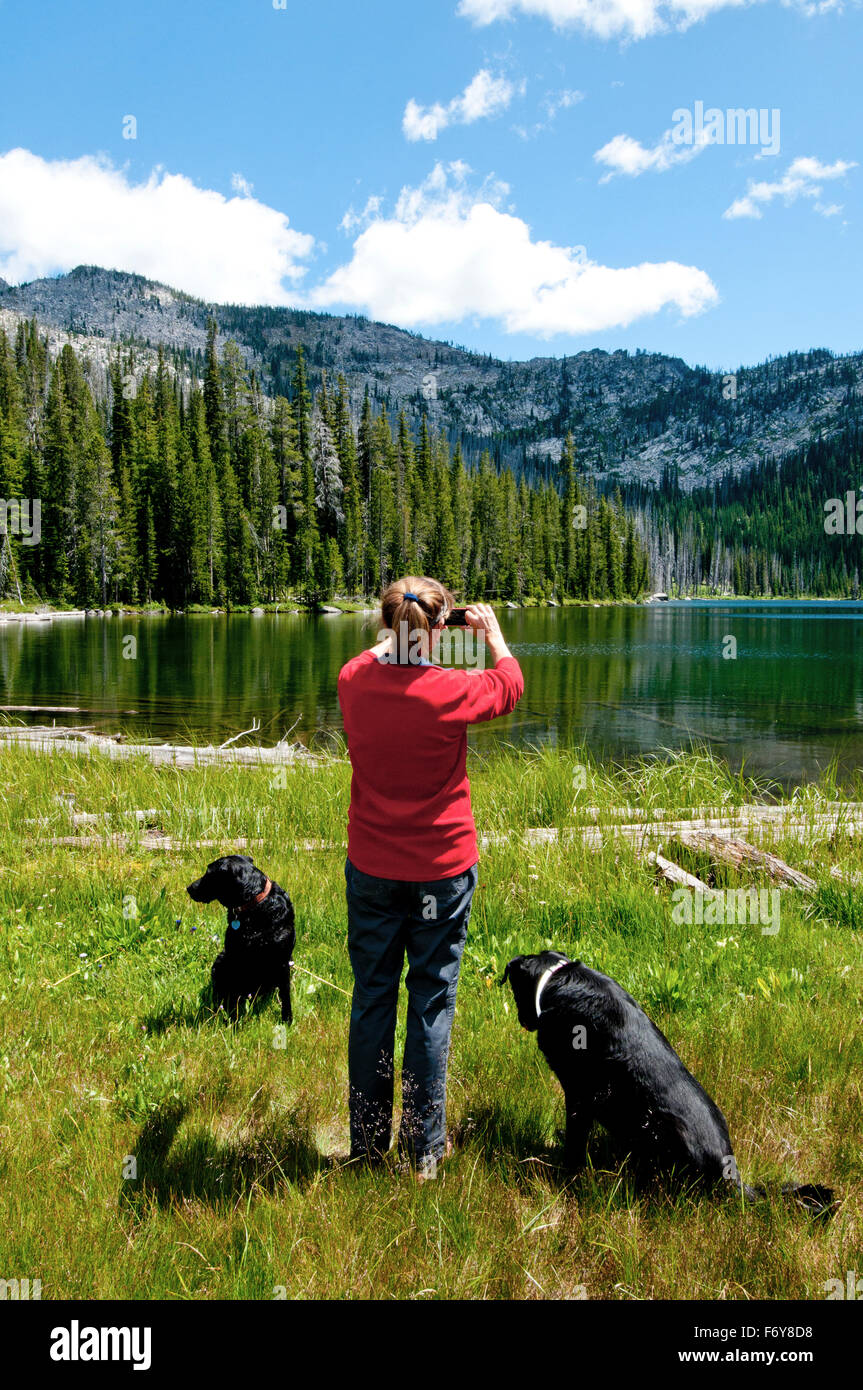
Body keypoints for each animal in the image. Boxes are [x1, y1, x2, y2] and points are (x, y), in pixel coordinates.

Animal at [186, 856, 294, 1023]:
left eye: (209, 874)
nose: (189, 887)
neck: (255, 905)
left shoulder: (282, 961)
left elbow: (286, 995)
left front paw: (287, 1020)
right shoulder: (233, 957)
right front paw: (233, 1020)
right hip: (221, 959)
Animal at [500, 950, 833, 1212]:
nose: (523, 1021)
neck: (558, 978)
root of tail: (732, 1177)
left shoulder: (579, 1093)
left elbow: (574, 1143)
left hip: (660, 1130)